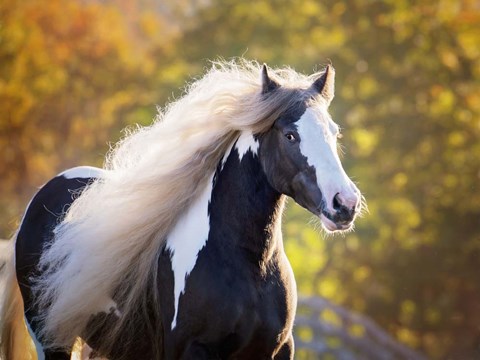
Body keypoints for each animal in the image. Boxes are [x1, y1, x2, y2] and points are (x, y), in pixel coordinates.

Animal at [0, 60, 360, 358]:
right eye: (289, 135)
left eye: (334, 132)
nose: (345, 204)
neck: (249, 266)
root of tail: (44, 195)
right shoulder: (192, 350)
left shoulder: (277, 350)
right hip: (51, 338)